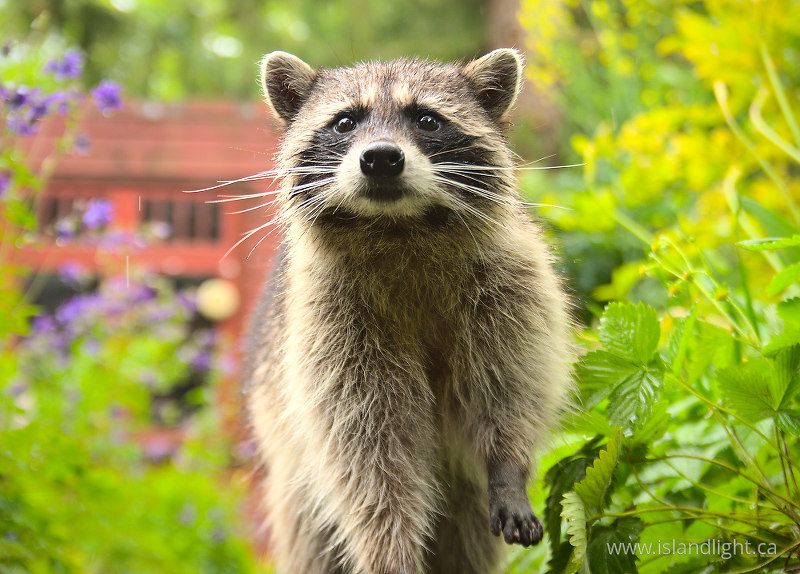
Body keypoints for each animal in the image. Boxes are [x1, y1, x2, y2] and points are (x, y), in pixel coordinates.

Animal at [245, 49, 573, 574]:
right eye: (345, 121)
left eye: (426, 119)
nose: (381, 157)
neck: (398, 227)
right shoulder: (332, 325)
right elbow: (368, 451)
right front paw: (388, 543)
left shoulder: (511, 283)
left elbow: (511, 383)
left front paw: (508, 465)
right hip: (295, 490)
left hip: (462, 503)